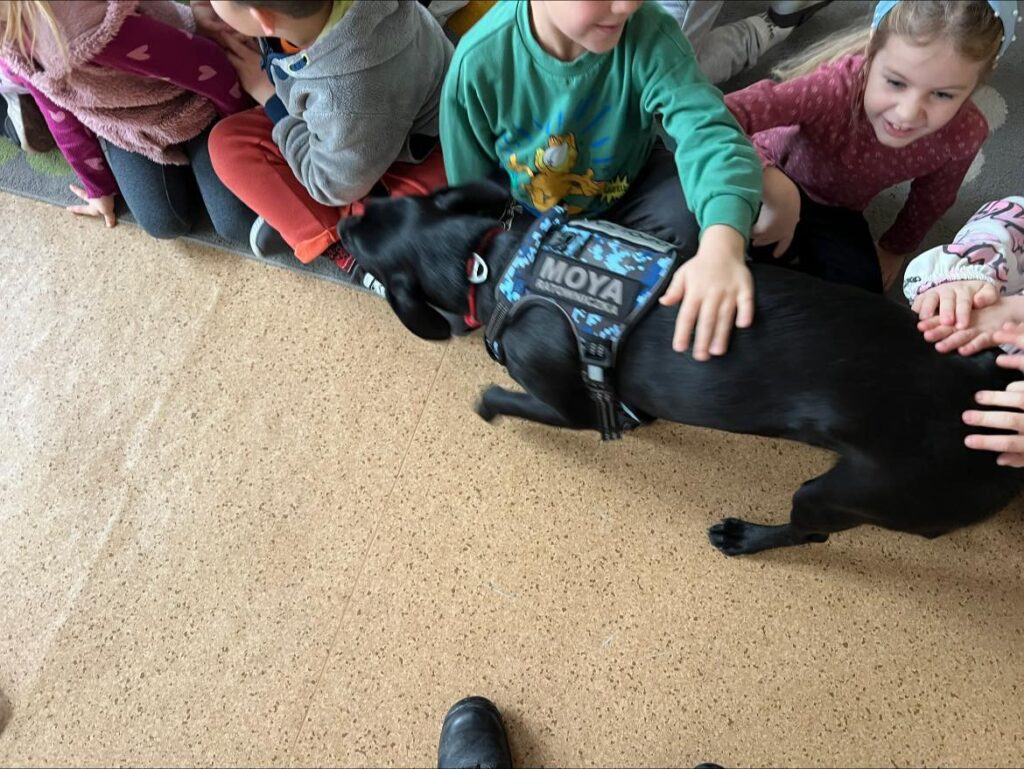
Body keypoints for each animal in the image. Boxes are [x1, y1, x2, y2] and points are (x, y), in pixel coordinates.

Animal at [339, 180, 1023, 556]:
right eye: (381, 203)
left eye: (355, 240)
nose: (344, 215)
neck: (495, 260)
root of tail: (989, 387)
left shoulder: (569, 404)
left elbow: (519, 401)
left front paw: (488, 402)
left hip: (853, 489)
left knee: (811, 532)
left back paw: (746, 538)